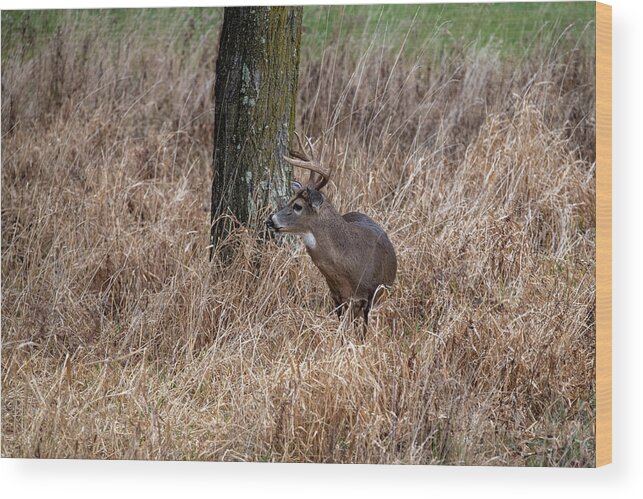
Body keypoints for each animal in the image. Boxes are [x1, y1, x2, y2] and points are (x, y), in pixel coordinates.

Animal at [266, 132, 398, 332]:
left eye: (297, 206)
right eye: (288, 201)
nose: (270, 220)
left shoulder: (370, 294)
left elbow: (363, 331)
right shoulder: (336, 297)